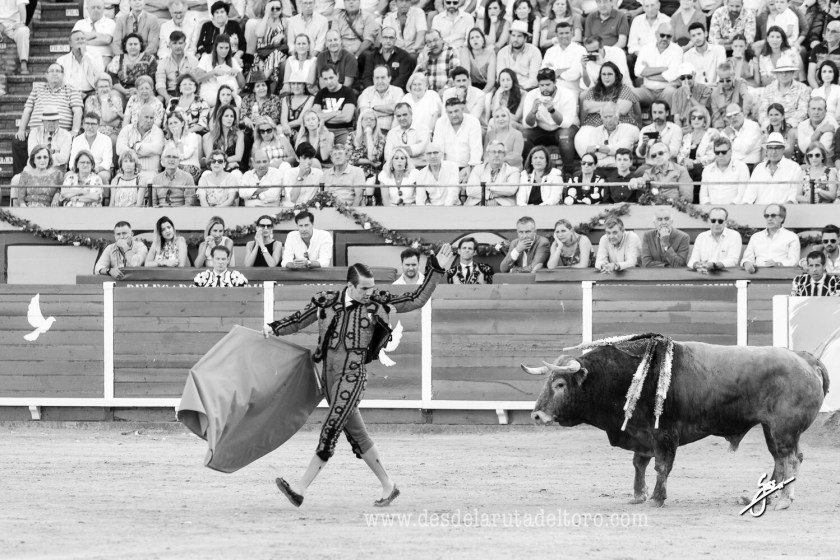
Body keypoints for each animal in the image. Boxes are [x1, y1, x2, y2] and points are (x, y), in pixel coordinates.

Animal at [522, 335, 829, 510]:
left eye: (560, 384)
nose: (536, 415)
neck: (626, 375)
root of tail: (805, 359)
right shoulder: (641, 433)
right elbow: (639, 464)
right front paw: (638, 495)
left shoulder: (664, 434)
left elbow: (662, 465)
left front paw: (658, 498)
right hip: (770, 428)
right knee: (780, 459)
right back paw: (765, 497)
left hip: (783, 428)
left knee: (790, 458)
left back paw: (784, 500)